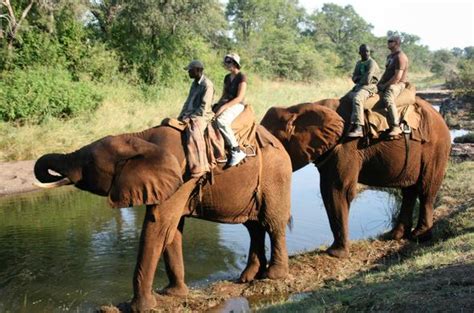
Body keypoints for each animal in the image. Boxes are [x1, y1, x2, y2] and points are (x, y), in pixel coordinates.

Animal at [34, 123, 292, 310]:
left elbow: (158, 228)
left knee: (272, 223)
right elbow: (172, 230)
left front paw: (140, 307)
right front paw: (173, 294)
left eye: (88, 162)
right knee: (254, 226)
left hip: (275, 176)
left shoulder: (183, 177)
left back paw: (273, 276)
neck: (140, 137)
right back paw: (247, 278)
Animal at [262, 96, 452, 258]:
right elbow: (327, 191)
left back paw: (419, 236)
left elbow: (337, 190)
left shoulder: (348, 146)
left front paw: (335, 254)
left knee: (426, 188)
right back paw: (394, 235)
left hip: (436, 147)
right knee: (409, 191)